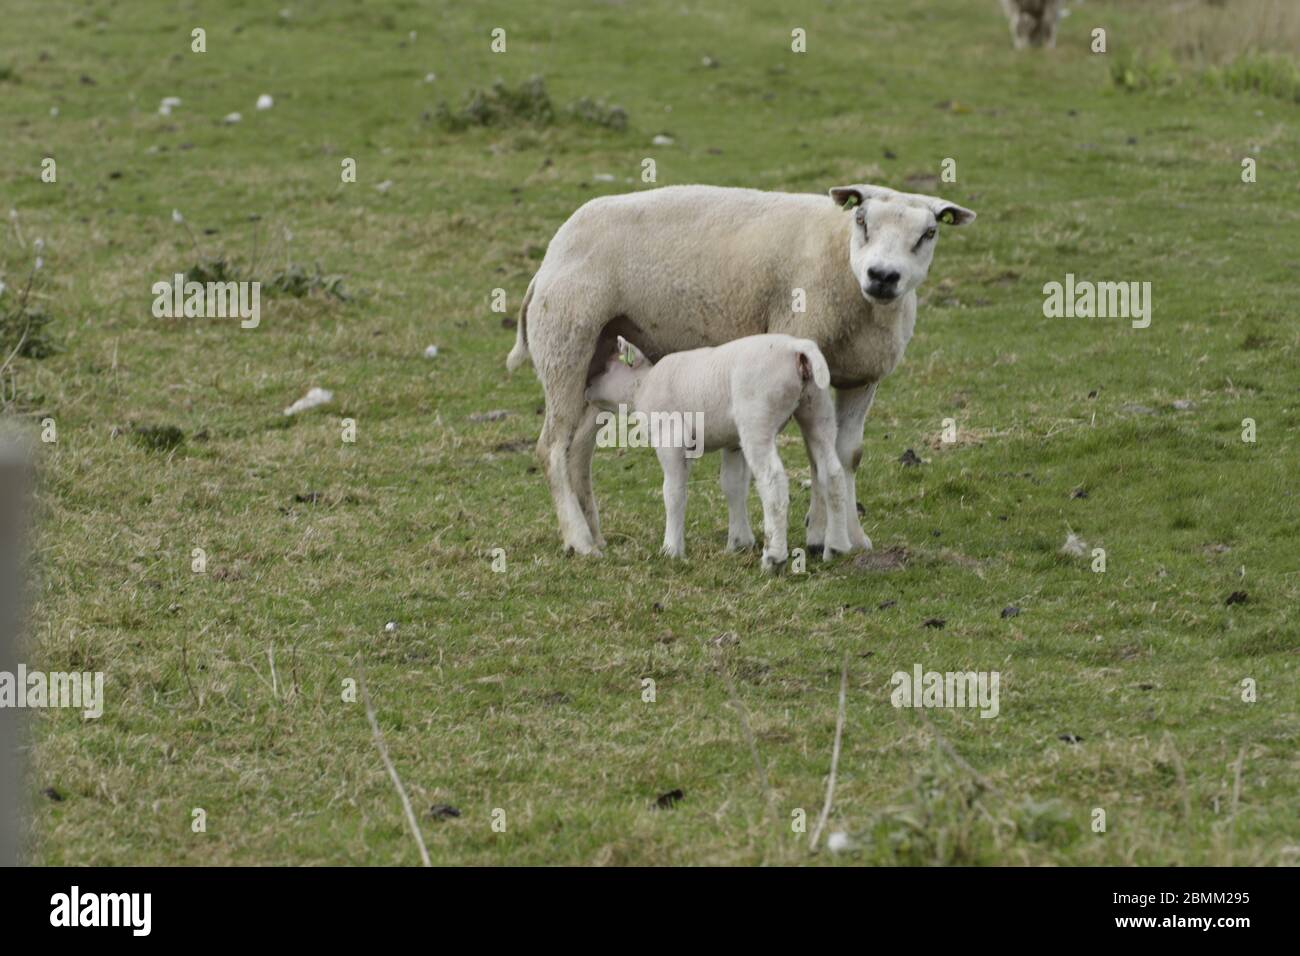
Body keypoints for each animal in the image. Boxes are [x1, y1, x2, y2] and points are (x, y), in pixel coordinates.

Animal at [585, 334, 851, 571]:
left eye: (606, 367)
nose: (586, 386)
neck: (641, 386)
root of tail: (798, 348)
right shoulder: (732, 443)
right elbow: (733, 486)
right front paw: (739, 543)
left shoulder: (671, 437)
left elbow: (673, 492)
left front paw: (671, 549)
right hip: (817, 407)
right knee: (833, 473)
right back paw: (837, 546)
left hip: (757, 419)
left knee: (772, 481)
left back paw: (774, 557)